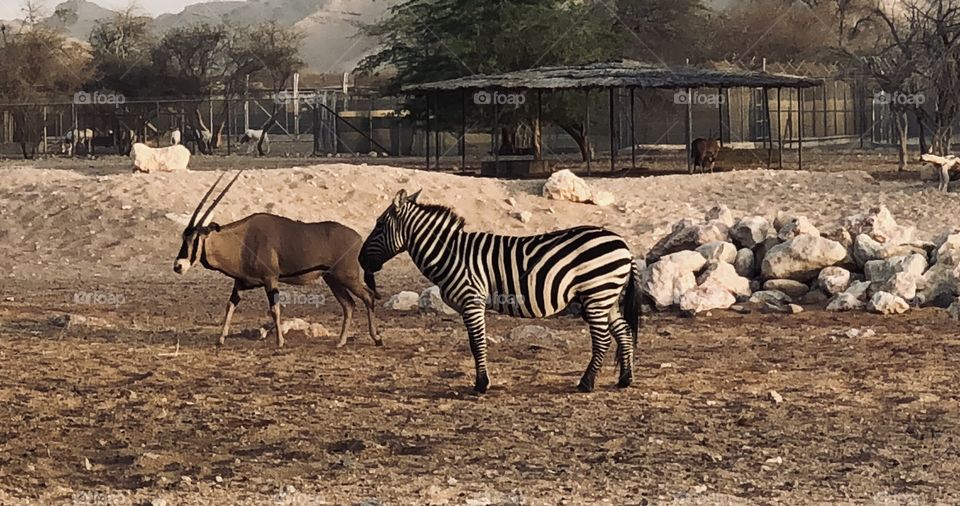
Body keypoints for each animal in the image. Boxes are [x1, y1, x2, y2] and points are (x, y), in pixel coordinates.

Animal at [173, 171, 382, 349]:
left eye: (195, 239)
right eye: (183, 237)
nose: (178, 266)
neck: (242, 239)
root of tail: (357, 237)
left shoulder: (270, 279)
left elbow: (275, 309)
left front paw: (280, 342)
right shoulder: (240, 283)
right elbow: (230, 305)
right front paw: (221, 339)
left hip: (347, 277)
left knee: (368, 296)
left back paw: (376, 338)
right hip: (333, 280)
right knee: (349, 304)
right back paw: (341, 342)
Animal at [360, 189, 641, 394]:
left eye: (379, 225)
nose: (361, 261)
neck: (450, 254)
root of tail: (624, 244)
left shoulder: (472, 299)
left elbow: (477, 343)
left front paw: (481, 385)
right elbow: (476, 343)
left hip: (596, 294)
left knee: (603, 340)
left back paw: (586, 384)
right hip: (606, 297)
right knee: (624, 332)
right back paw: (624, 380)